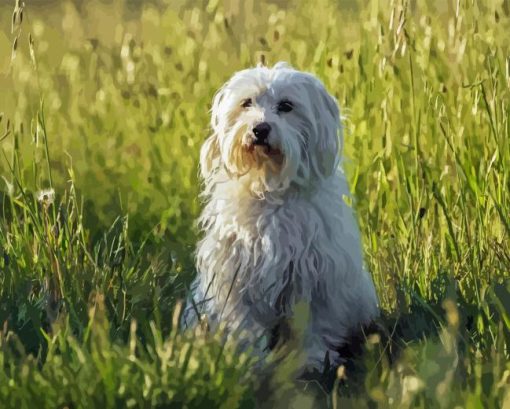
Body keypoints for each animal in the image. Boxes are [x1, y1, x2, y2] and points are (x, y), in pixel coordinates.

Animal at [182, 62, 378, 372]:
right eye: (246, 103)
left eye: (286, 106)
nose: (260, 128)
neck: (270, 186)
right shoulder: (236, 276)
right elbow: (244, 325)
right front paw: (249, 359)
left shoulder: (315, 276)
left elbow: (311, 324)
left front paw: (313, 357)